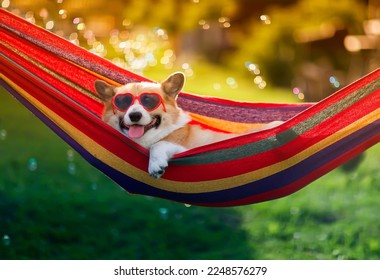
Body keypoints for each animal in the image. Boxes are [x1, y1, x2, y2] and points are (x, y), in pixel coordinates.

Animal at [93, 71, 280, 177]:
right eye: (123, 102)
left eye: (149, 100)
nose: (135, 115)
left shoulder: (184, 147)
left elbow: (158, 144)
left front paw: (155, 165)